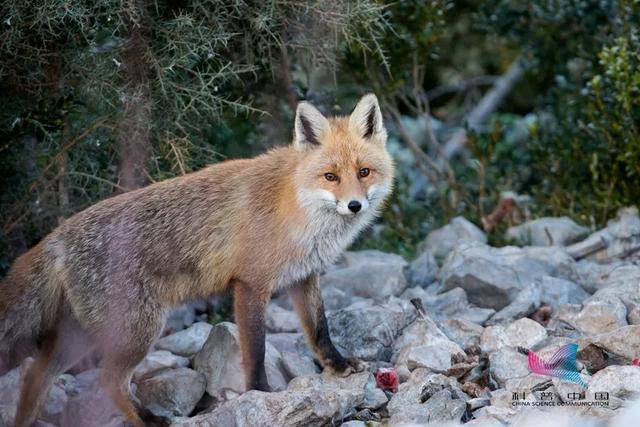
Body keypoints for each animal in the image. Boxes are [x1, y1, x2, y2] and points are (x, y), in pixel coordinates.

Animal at [0, 94, 396, 427]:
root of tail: (56, 236)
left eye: (364, 172)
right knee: (107, 379)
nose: (354, 205)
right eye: (330, 177)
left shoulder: (304, 277)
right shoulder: (251, 284)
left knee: (37, 374)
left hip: (81, 334)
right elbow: (255, 350)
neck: (298, 207)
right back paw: (147, 420)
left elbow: (319, 330)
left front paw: (339, 365)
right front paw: (261, 394)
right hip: (136, 330)